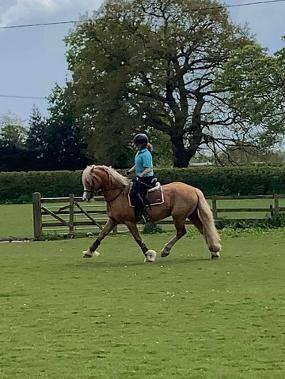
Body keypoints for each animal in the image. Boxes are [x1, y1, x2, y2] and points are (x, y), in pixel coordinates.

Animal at [81, 165, 221, 262]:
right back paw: (214, 251)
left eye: (89, 181)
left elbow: (138, 239)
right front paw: (89, 252)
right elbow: (101, 235)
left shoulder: (129, 222)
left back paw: (166, 251)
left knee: (181, 232)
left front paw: (149, 255)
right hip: (192, 215)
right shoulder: (113, 220)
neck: (118, 193)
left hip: (179, 216)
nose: (85, 197)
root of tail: (193, 189)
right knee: (203, 229)